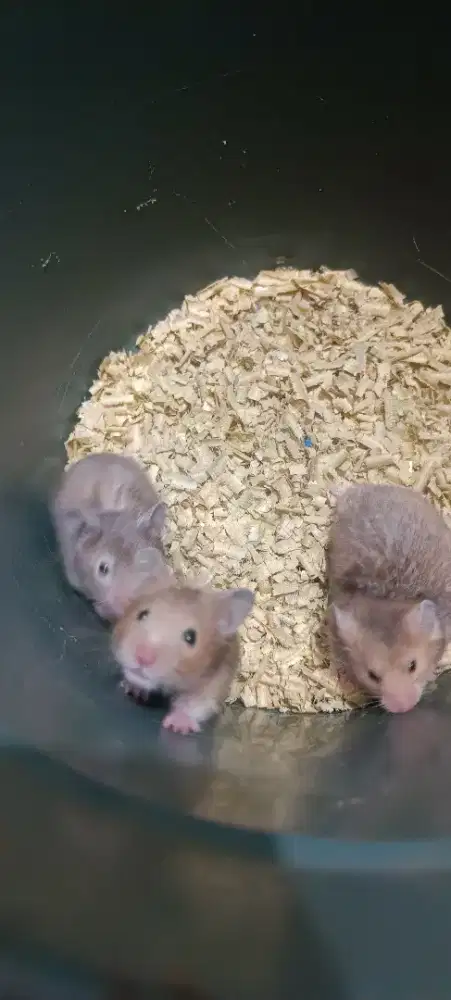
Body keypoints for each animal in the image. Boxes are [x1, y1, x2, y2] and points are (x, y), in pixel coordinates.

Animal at [112, 580, 255, 733]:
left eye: (191, 637)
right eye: (142, 615)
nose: (143, 657)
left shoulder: (214, 683)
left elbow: (194, 705)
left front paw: (175, 726)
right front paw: (133, 690)